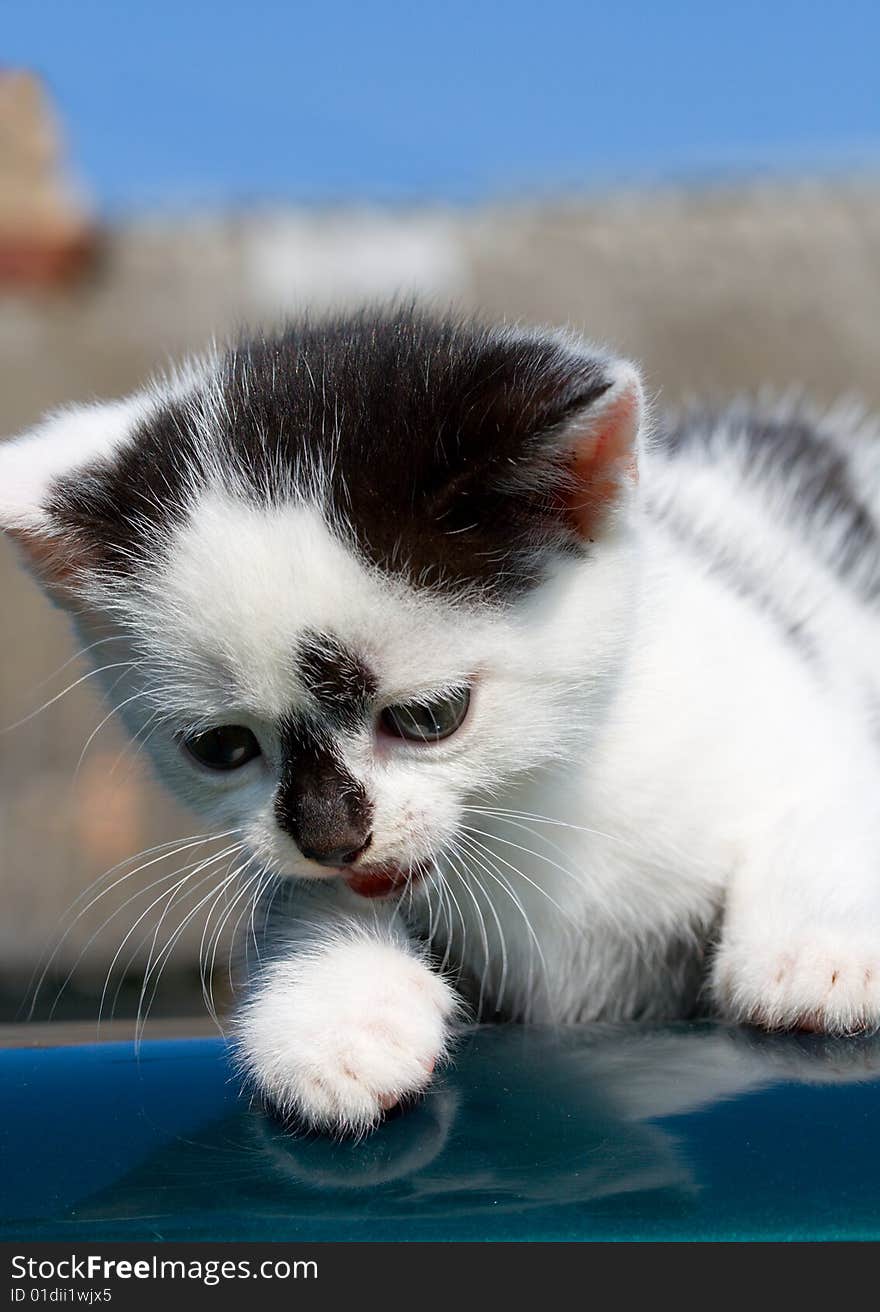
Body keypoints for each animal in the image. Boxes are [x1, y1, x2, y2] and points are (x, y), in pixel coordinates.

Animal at [1, 309, 880, 1138]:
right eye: (221, 748)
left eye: (430, 717)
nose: (331, 838)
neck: (541, 810)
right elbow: (303, 897)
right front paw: (336, 1018)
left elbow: (832, 800)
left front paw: (817, 955)